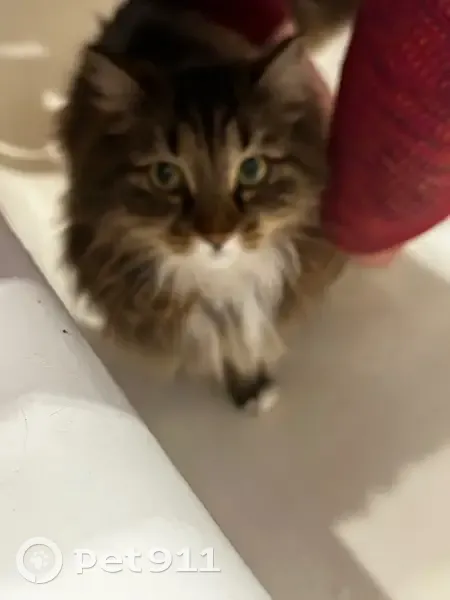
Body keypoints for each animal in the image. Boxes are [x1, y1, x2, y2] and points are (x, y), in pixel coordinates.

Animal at [59, 0, 358, 413]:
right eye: (165, 175)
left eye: (252, 169)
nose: (217, 236)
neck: (224, 284)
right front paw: (247, 390)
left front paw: (254, 386)